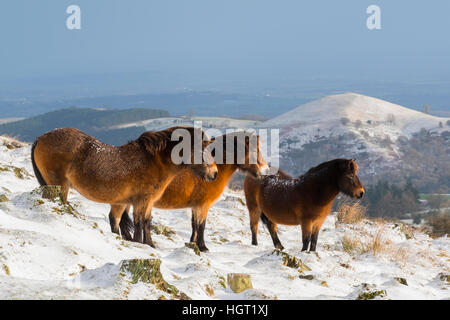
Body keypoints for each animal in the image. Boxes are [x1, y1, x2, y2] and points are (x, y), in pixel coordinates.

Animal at [31, 126, 218, 246]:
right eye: (202, 151)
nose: (214, 173)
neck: (154, 162)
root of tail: (41, 137)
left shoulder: (143, 202)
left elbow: (144, 222)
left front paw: (148, 244)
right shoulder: (141, 201)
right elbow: (140, 222)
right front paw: (140, 243)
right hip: (59, 185)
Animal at [116, 131, 268, 251]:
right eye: (254, 151)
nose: (265, 170)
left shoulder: (196, 206)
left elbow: (194, 224)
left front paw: (193, 243)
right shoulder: (203, 205)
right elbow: (201, 225)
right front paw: (203, 247)